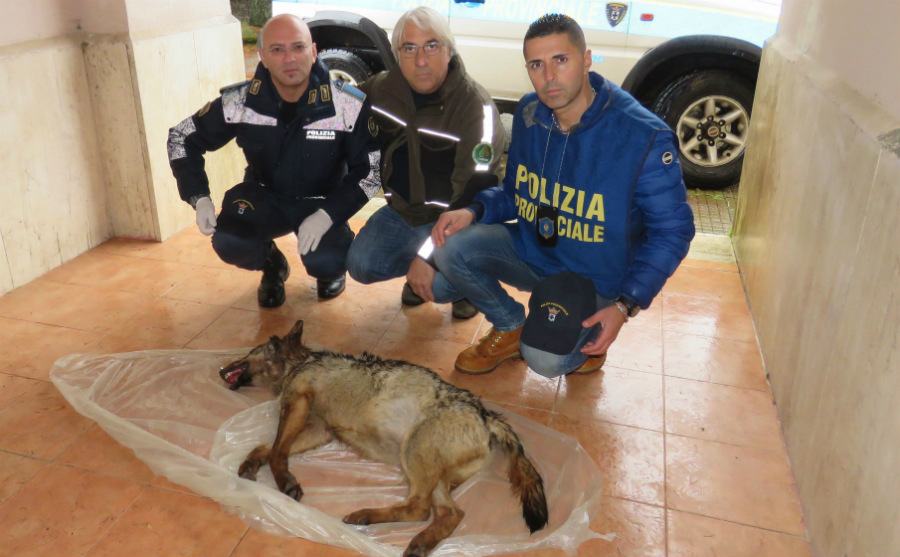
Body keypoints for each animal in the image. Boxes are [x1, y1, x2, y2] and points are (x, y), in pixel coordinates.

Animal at [218, 320, 548, 557]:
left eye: (248, 351)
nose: (220, 368)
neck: (299, 362)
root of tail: (486, 414)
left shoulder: (298, 403)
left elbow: (276, 451)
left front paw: (285, 482)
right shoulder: (317, 430)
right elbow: (267, 446)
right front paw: (251, 465)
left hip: (413, 452)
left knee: (419, 508)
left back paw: (366, 515)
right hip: (434, 475)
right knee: (451, 514)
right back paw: (419, 542)